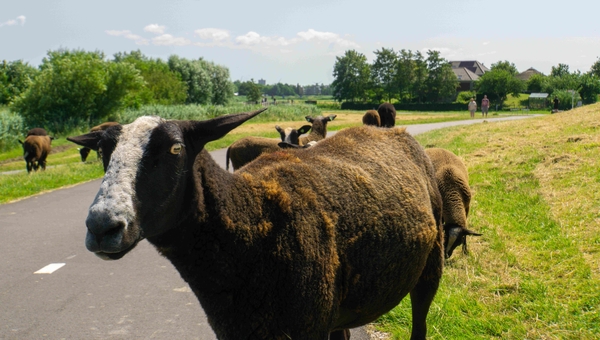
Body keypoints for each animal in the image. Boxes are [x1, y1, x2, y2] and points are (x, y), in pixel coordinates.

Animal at [68, 111, 446, 340]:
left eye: (176, 149)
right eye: (103, 152)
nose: (102, 227)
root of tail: (396, 133)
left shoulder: (307, 326)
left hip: (431, 264)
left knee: (421, 322)